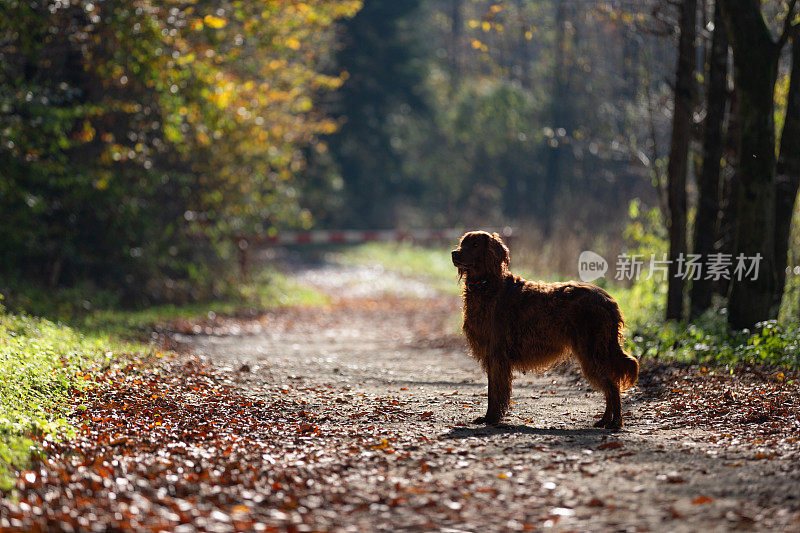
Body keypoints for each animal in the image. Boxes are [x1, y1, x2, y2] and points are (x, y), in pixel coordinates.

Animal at [454, 231, 640, 430]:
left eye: (475, 244)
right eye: (462, 243)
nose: (454, 253)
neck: (487, 285)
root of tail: (607, 299)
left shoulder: (497, 355)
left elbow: (494, 392)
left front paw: (491, 418)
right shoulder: (493, 356)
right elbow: (492, 390)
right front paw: (490, 417)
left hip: (592, 352)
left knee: (612, 386)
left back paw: (615, 422)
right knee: (610, 387)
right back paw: (605, 420)